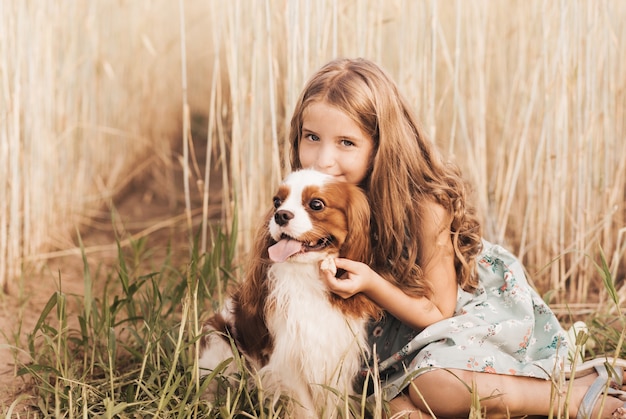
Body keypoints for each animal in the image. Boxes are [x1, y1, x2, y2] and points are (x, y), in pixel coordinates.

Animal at [199, 169, 380, 418]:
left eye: (316, 204)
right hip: (220, 341)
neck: (307, 277)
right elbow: (306, 410)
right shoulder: (288, 360)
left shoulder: (335, 357)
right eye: (277, 202)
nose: (281, 215)